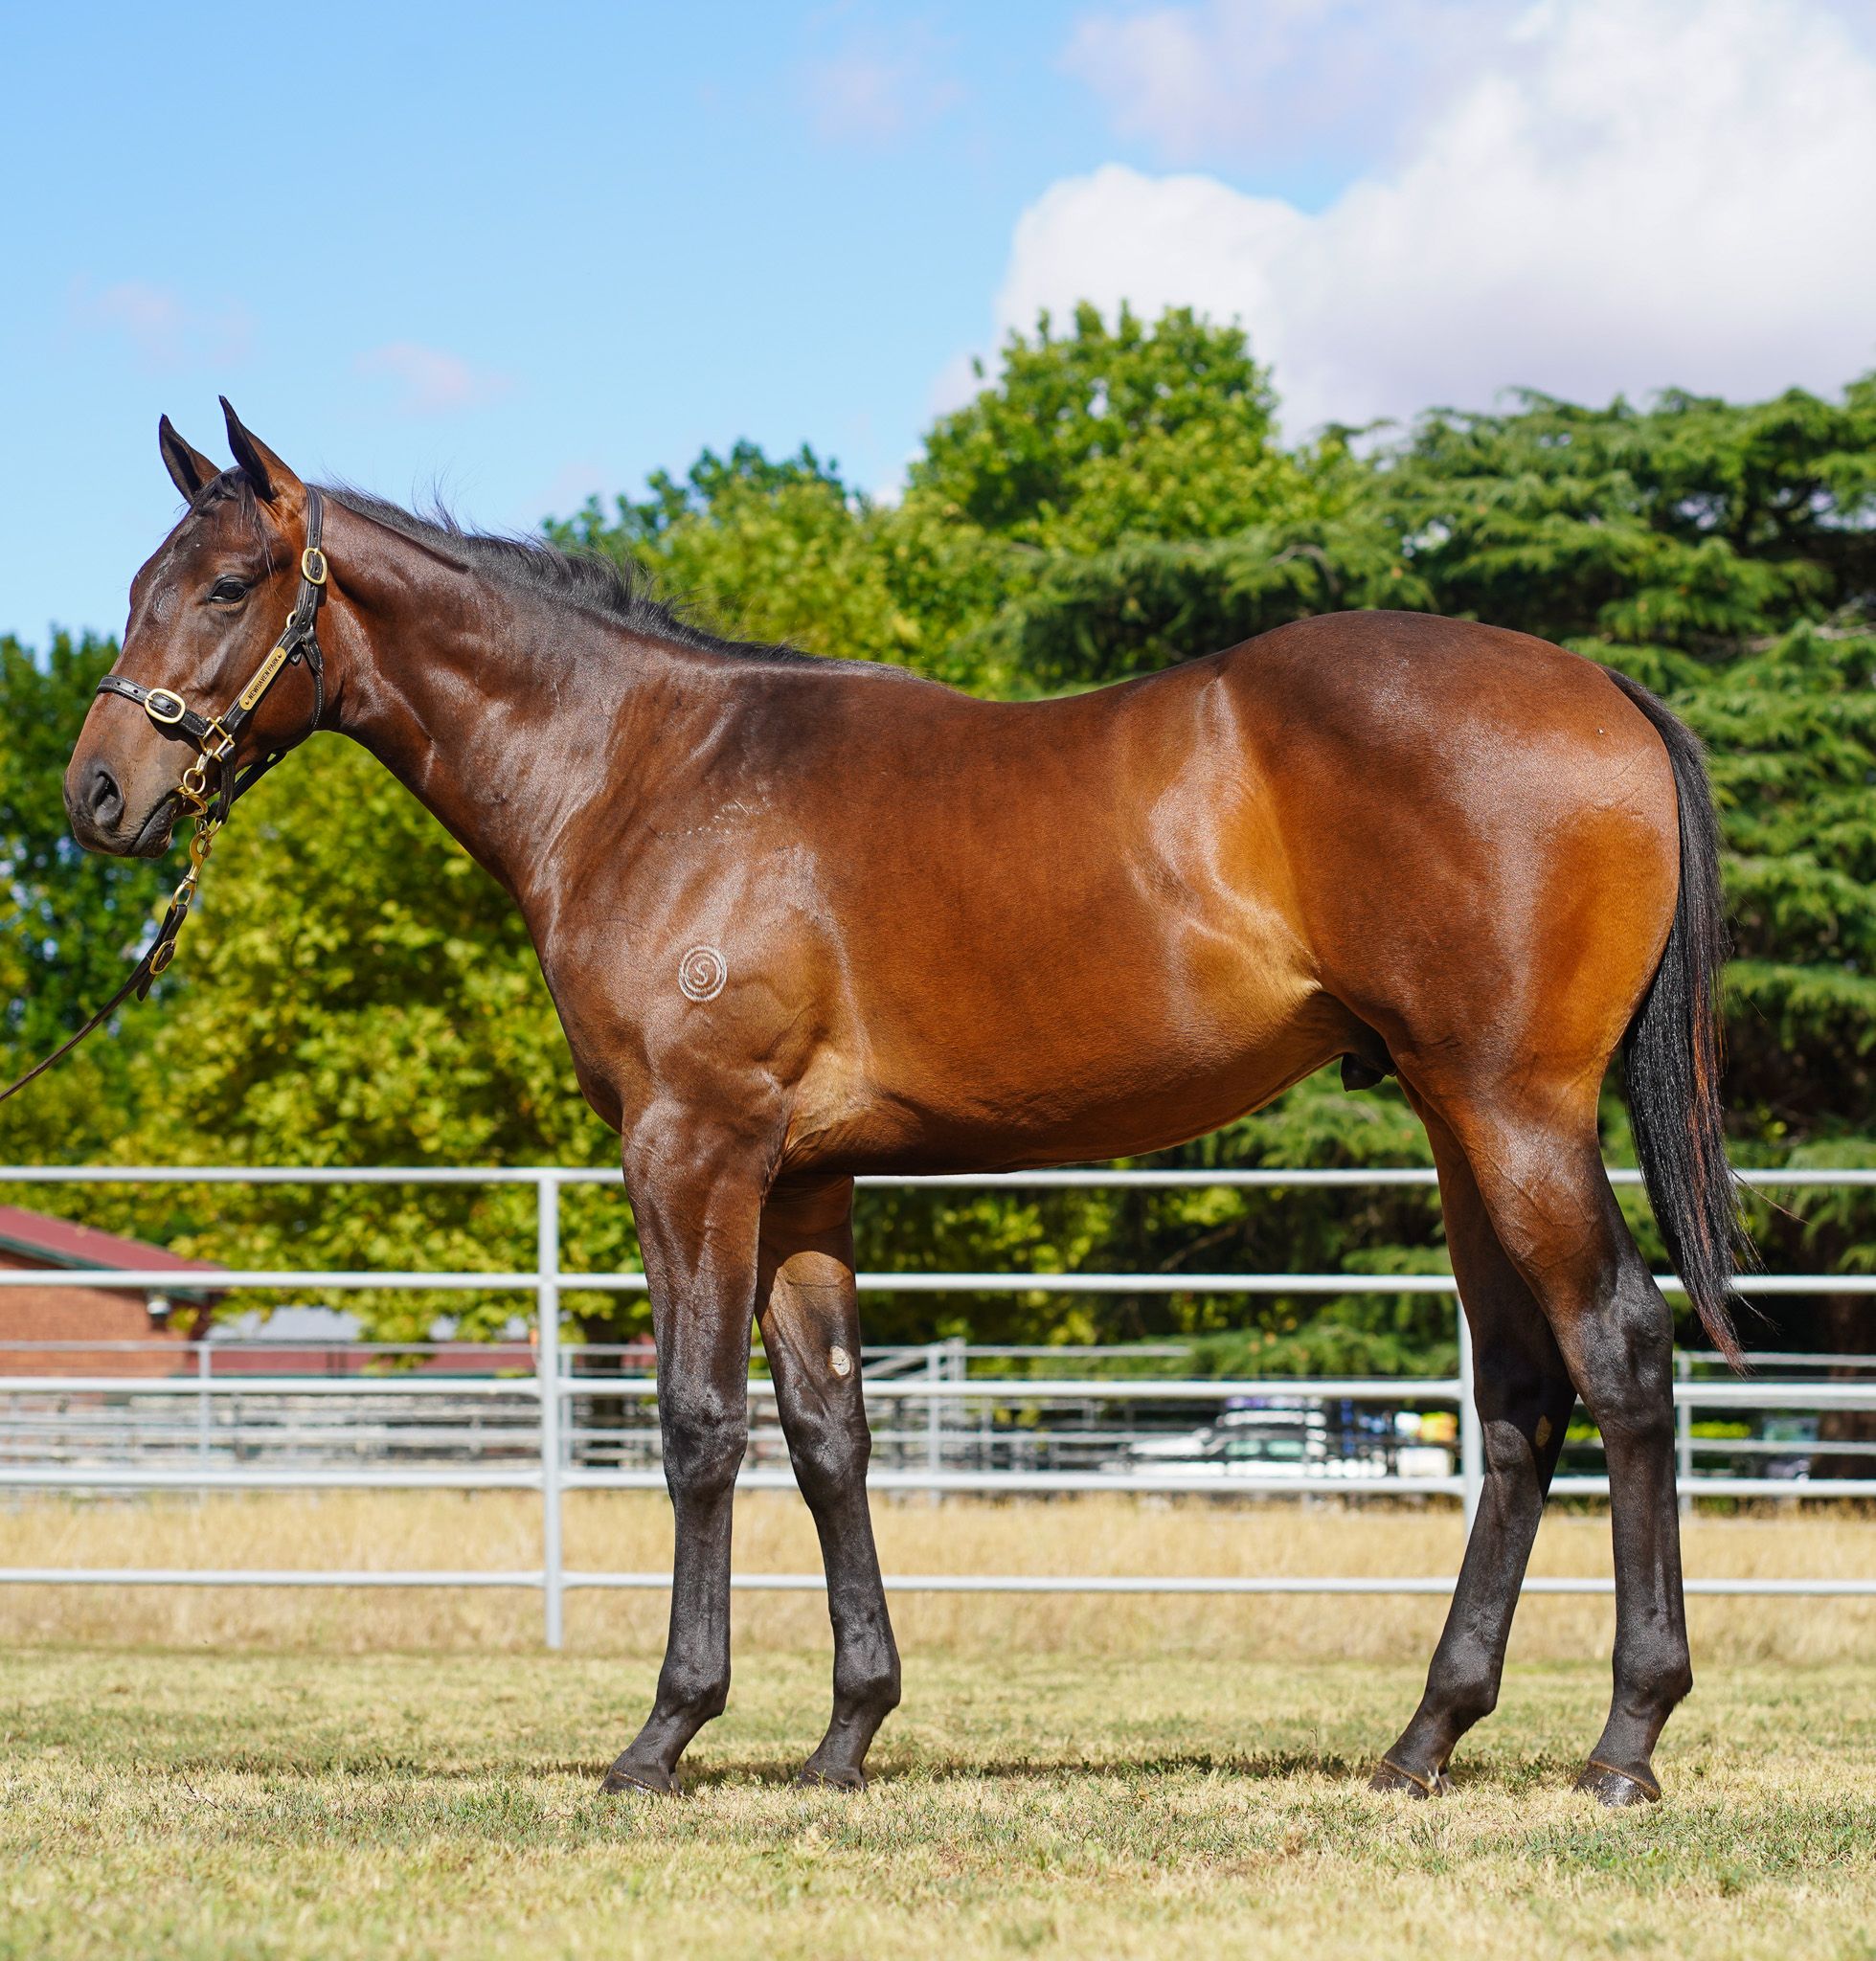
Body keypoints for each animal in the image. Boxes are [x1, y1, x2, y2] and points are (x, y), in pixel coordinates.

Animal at [69, 401, 1740, 1804]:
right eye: (146, 580)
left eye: (229, 586)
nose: (96, 795)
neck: (642, 773)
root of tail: (1598, 687)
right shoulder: (804, 1180)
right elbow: (829, 1434)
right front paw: (845, 1735)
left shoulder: (691, 1154)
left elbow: (697, 1426)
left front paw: (664, 1735)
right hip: (1458, 1125)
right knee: (1519, 1396)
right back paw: (1423, 1738)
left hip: (1515, 1113)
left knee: (1621, 1355)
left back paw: (1624, 1740)